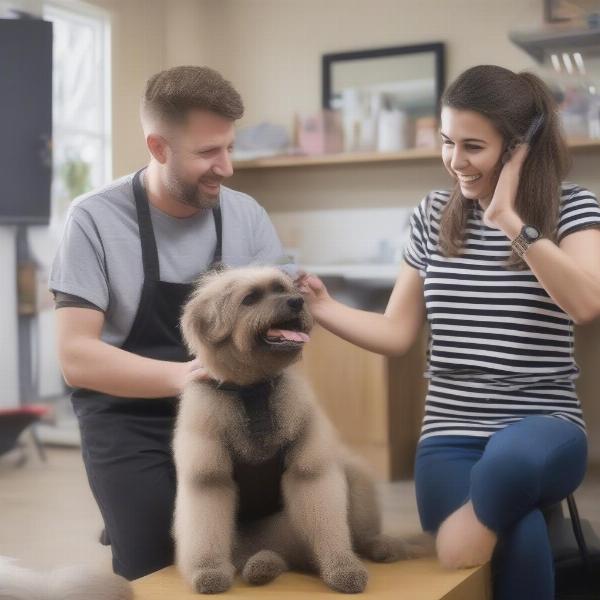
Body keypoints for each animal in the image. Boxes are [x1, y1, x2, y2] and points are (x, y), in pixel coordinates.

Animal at [173, 268, 432, 596]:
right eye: (250, 298)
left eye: (282, 288)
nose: (297, 301)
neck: (254, 391)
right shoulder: (208, 478)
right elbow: (205, 533)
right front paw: (208, 571)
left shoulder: (311, 471)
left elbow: (329, 528)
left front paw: (342, 569)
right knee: (275, 556)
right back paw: (262, 566)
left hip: (352, 477)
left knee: (357, 533)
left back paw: (382, 547)